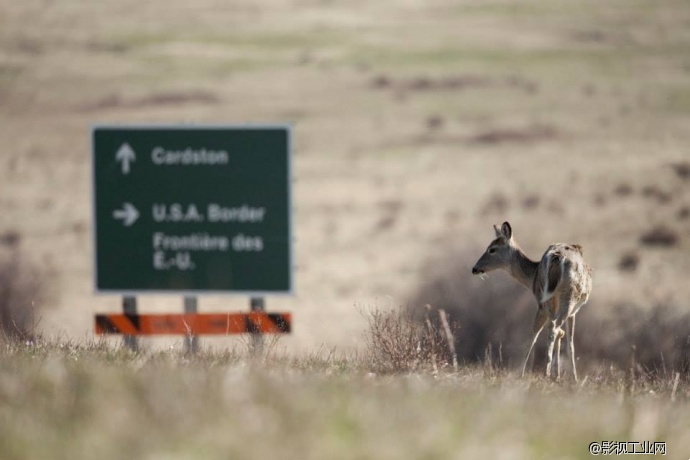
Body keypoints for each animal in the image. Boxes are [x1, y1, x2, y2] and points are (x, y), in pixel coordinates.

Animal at [470, 223, 588, 380]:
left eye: (492, 249)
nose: (474, 268)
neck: (532, 276)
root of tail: (558, 258)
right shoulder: (566, 309)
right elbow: (569, 341)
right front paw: (572, 378)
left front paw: (559, 374)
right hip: (567, 296)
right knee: (551, 329)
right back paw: (544, 373)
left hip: (550, 298)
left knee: (549, 329)